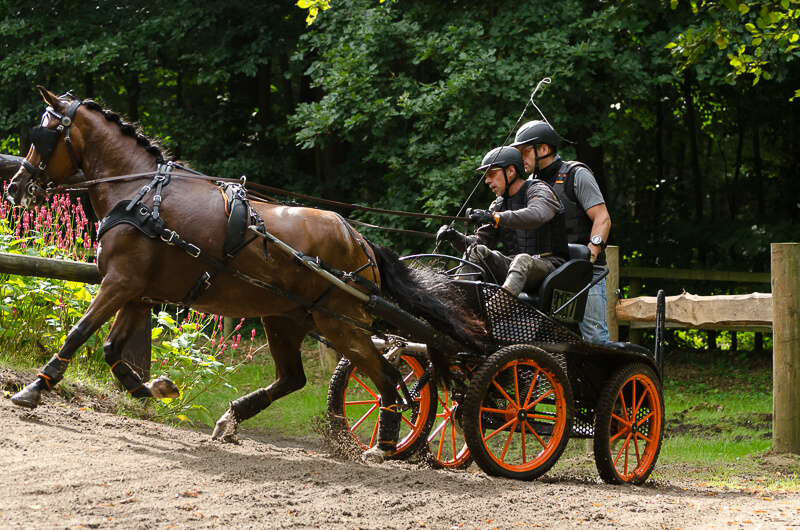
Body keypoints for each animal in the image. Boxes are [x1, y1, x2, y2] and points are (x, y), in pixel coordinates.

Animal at [5, 86, 483, 462]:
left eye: (42, 135)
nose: (15, 186)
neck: (140, 194)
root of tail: (360, 242)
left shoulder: (121, 284)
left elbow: (80, 332)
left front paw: (36, 388)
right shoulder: (139, 294)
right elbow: (110, 351)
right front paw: (156, 388)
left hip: (341, 323)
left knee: (388, 377)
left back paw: (383, 446)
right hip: (287, 318)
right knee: (295, 378)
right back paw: (232, 419)